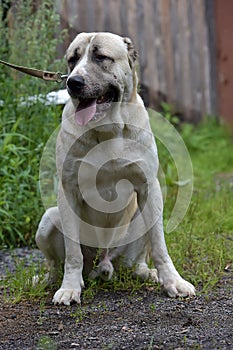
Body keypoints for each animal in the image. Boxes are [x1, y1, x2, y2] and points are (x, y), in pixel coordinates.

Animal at [35, 32, 195, 306]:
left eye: (101, 57)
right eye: (72, 60)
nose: (73, 82)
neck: (107, 128)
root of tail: (104, 261)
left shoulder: (148, 187)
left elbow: (160, 246)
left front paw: (174, 282)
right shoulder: (68, 191)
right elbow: (73, 253)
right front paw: (69, 288)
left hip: (143, 219)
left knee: (136, 260)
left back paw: (147, 273)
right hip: (48, 220)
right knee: (59, 263)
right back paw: (52, 280)